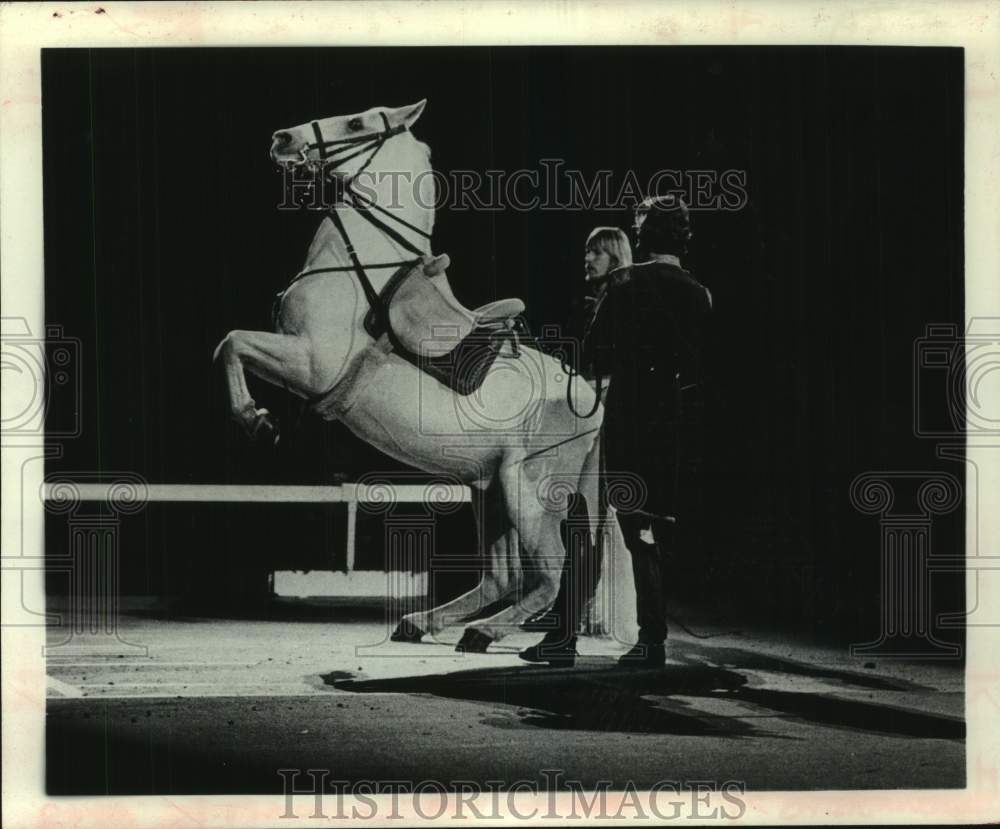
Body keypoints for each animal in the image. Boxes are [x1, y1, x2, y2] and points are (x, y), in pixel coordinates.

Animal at [215, 100, 604, 652]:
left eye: (356, 123)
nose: (282, 139)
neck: (360, 267)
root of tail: (592, 398)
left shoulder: (309, 362)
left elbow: (230, 343)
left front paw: (255, 419)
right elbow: (230, 344)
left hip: (529, 488)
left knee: (548, 574)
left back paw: (484, 633)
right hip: (489, 490)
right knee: (502, 577)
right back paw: (421, 622)